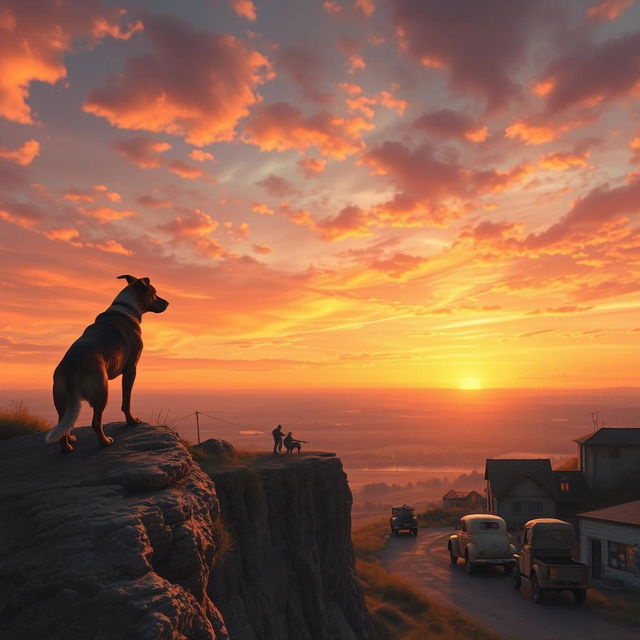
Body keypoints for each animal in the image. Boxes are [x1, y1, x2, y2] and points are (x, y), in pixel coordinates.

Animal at [45, 274, 170, 450]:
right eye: (154, 292)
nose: (167, 303)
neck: (126, 307)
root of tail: (71, 367)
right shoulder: (131, 369)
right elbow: (126, 401)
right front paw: (132, 421)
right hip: (102, 391)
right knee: (96, 422)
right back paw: (104, 441)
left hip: (61, 398)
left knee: (62, 422)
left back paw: (67, 445)